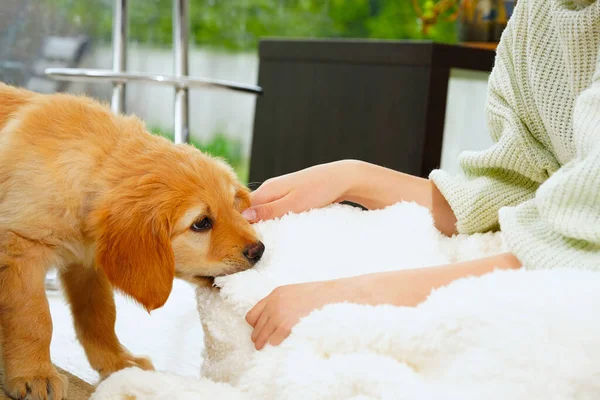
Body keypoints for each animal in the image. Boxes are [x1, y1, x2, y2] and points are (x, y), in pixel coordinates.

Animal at [0, 83, 264, 398]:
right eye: (201, 223)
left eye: (234, 206)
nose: (259, 250)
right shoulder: (21, 249)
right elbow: (34, 318)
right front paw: (34, 374)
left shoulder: (86, 263)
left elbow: (100, 315)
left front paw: (117, 362)